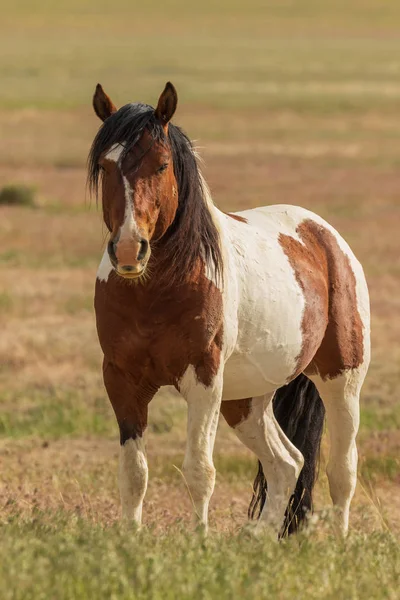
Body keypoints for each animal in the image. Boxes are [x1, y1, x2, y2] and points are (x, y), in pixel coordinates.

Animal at [89, 82, 370, 536]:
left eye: (162, 165)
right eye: (105, 165)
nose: (130, 249)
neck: (155, 292)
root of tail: (324, 235)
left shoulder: (204, 379)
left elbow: (199, 471)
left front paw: (199, 540)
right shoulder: (121, 380)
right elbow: (134, 473)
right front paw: (129, 539)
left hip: (342, 380)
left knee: (342, 471)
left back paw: (340, 542)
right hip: (246, 401)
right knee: (287, 463)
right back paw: (259, 538)